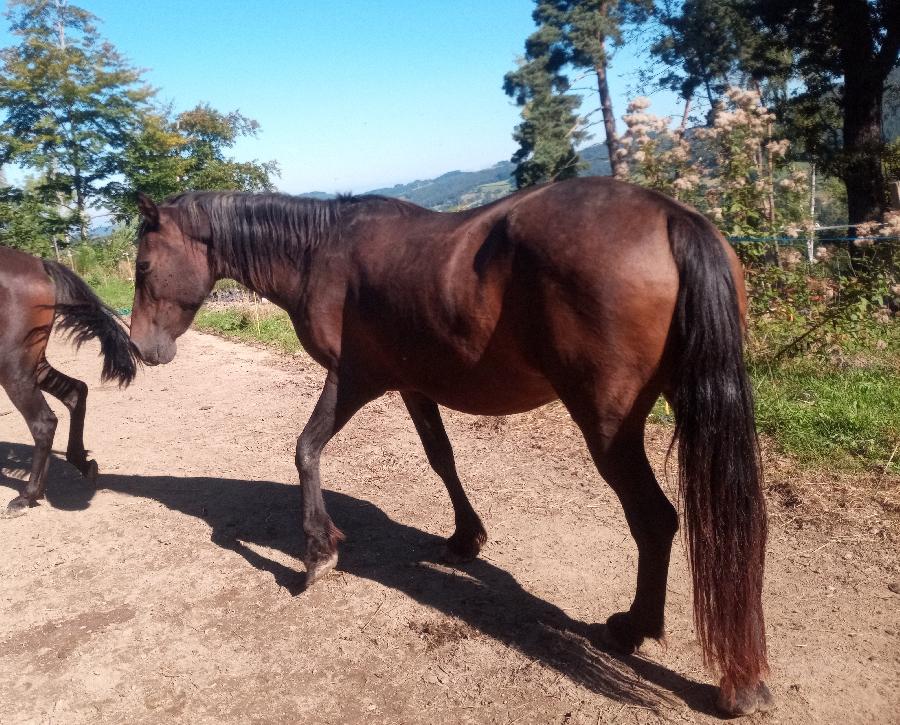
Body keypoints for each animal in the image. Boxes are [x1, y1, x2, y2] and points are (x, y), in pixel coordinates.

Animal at [0, 245, 138, 516]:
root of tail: (38, 264)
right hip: (33, 365)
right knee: (75, 392)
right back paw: (79, 464)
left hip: (12, 366)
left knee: (43, 422)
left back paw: (28, 495)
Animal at [130, 178, 768, 716]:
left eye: (142, 264)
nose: (141, 349)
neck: (321, 251)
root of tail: (669, 214)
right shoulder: (414, 385)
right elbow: (441, 458)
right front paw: (466, 537)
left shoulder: (353, 378)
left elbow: (306, 450)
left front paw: (317, 553)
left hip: (609, 429)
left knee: (655, 520)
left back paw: (636, 629)